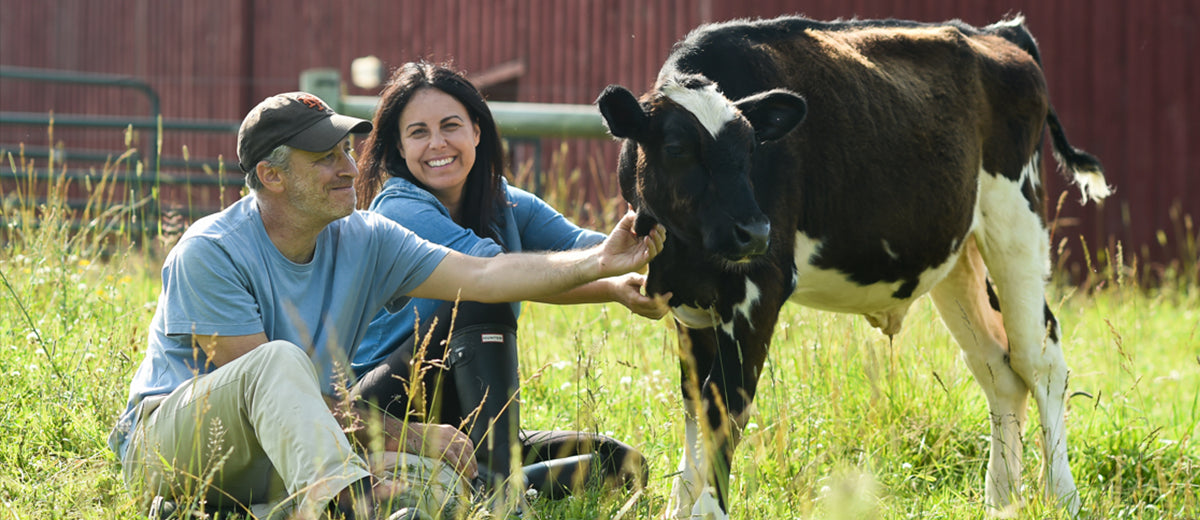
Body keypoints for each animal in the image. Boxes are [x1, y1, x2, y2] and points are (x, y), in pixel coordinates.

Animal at [595, 14, 1108, 516]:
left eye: (752, 149)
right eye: (676, 148)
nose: (755, 232)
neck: (683, 255)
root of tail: (999, 32)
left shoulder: (758, 290)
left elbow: (726, 410)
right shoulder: (690, 305)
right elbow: (698, 408)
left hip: (1016, 224)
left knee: (1039, 363)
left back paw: (1063, 497)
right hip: (958, 258)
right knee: (997, 369)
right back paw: (1001, 500)